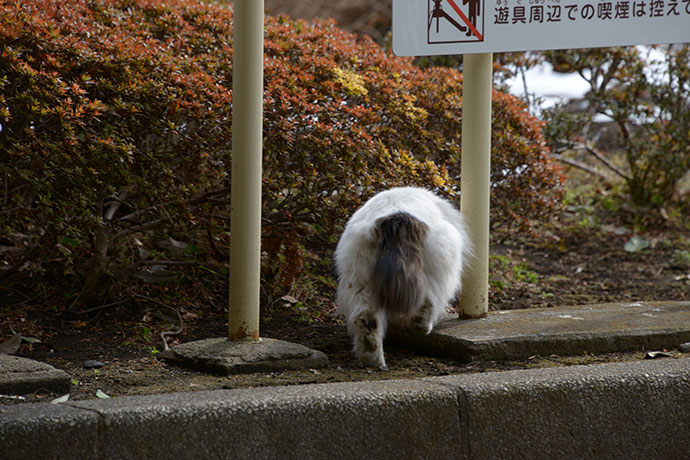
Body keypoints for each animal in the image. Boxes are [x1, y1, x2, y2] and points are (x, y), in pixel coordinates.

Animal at [334, 185, 472, 368]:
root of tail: (395, 219)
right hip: (438, 270)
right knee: (429, 299)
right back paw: (421, 326)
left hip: (360, 279)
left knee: (366, 318)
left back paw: (373, 359)